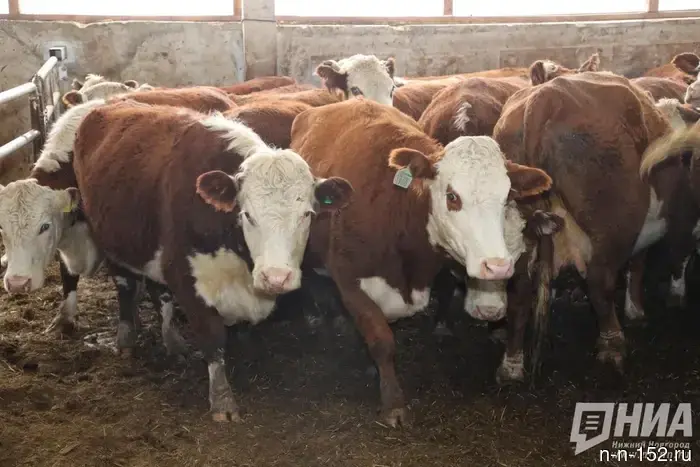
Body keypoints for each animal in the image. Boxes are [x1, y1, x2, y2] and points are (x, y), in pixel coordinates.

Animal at [67, 100, 353, 421]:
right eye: (247, 214)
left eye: (307, 214)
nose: (276, 277)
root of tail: (111, 103)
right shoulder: (186, 276)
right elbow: (213, 338)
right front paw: (223, 401)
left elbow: (241, 331)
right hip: (111, 241)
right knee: (126, 287)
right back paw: (126, 339)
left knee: (159, 293)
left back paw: (173, 341)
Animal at [289, 99, 552, 426]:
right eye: (452, 196)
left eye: (506, 198)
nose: (497, 266)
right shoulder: (349, 280)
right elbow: (381, 339)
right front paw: (393, 404)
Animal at [492, 71, 696, 382]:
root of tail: (545, 97)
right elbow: (676, 257)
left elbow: (638, 264)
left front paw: (636, 308)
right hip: (613, 228)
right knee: (600, 282)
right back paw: (613, 346)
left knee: (520, 292)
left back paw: (511, 365)